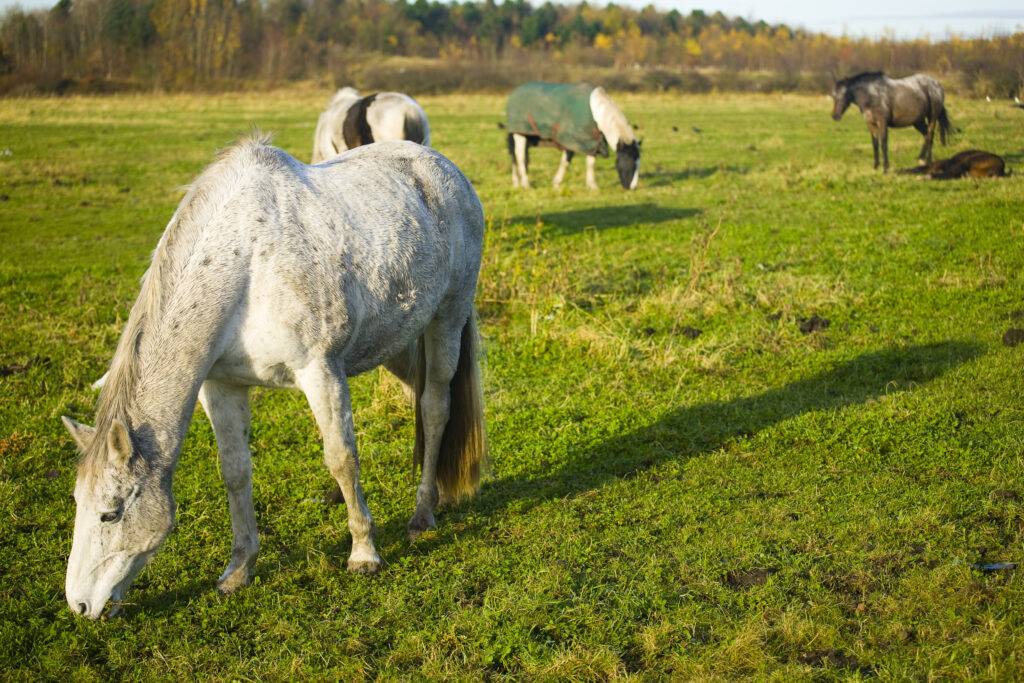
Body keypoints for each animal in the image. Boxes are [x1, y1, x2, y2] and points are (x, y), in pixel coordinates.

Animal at [61, 136, 487, 620]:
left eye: (110, 513)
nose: (79, 604)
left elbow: (341, 457)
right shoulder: (221, 387)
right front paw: (238, 569)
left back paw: (423, 514)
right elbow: (235, 471)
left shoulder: (320, 370)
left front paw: (363, 552)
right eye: (78, 504)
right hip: (395, 341)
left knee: (435, 408)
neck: (245, 263)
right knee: (419, 397)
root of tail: (440, 166)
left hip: (445, 319)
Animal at [505, 82, 640, 190]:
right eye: (631, 163)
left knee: (515, 157)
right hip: (519, 134)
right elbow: (566, 162)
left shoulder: (591, 142)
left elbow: (590, 163)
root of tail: (516, 91)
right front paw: (556, 184)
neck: (595, 111)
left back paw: (516, 183)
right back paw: (526, 184)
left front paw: (592, 186)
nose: (631, 188)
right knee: (520, 157)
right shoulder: (570, 140)